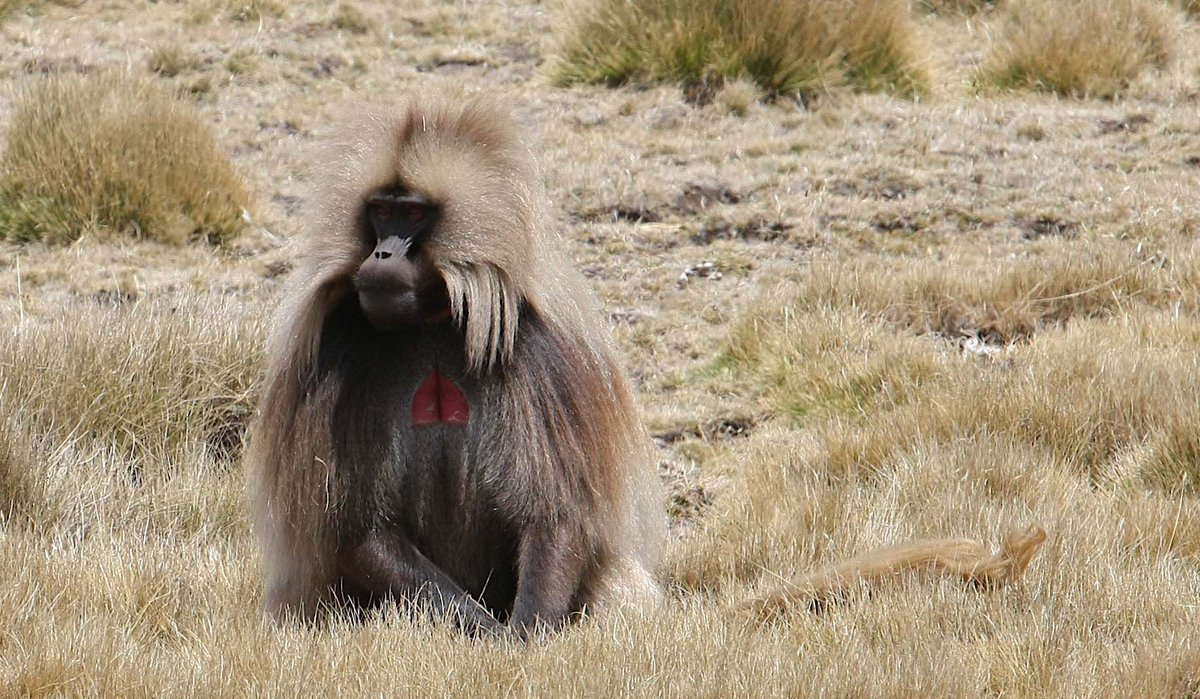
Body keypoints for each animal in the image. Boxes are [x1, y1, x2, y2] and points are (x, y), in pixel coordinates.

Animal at [245, 95, 1044, 637]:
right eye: (379, 213)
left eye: (412, 216)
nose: (382, 254)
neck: (434, 322)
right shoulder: (340, 342)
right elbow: (355, 526)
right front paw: (489, 635)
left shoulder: (537, 351)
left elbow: (559, 511)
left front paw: (525, 636)